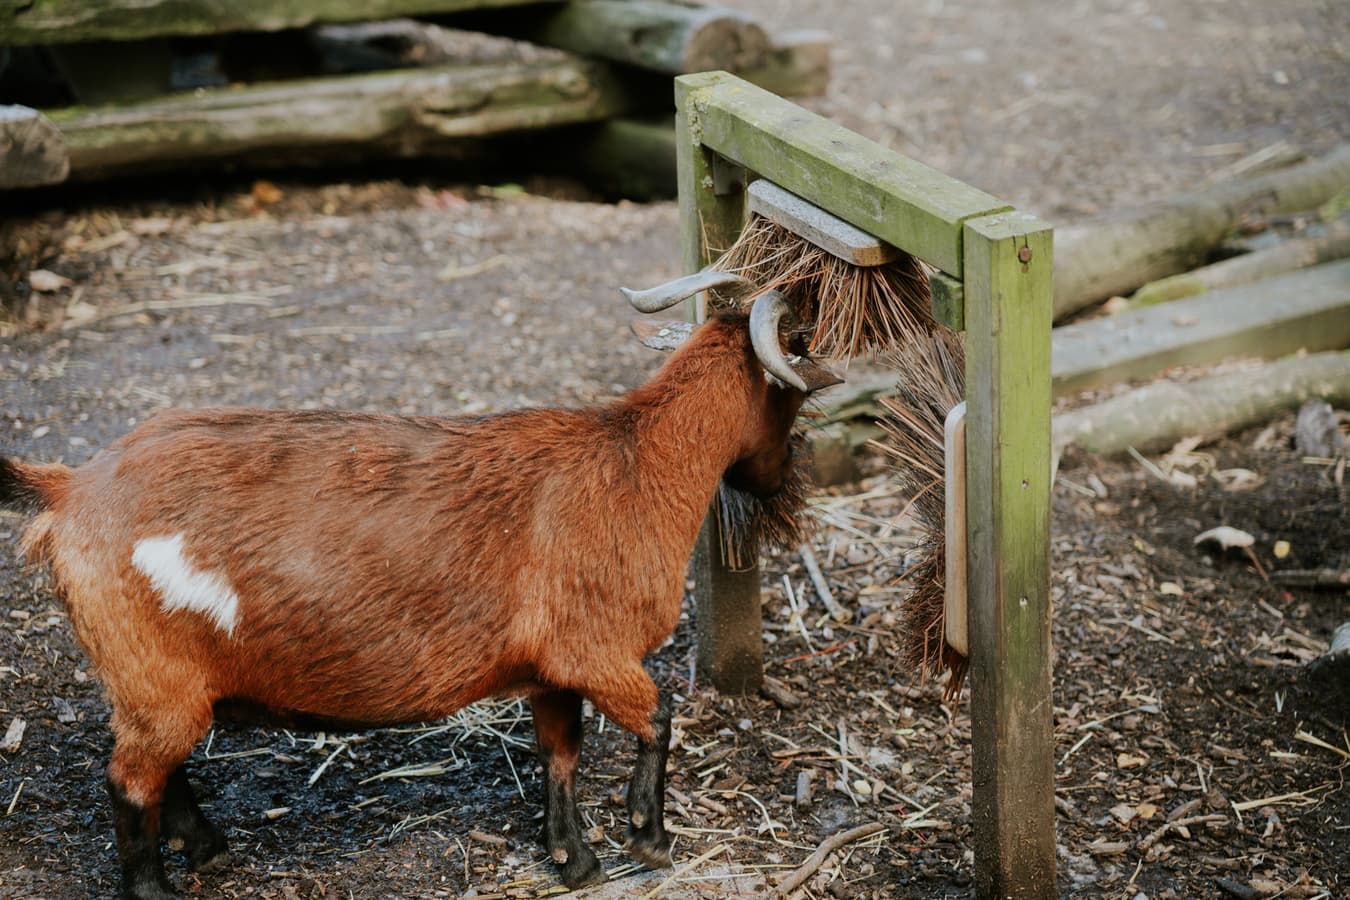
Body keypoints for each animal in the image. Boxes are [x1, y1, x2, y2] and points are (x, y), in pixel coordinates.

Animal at [0, 276, 837, 900]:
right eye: (792, 395)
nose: (783, 479)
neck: (636, 463)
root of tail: (71, 489)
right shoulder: (597, 653)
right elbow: (659, 720)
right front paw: (651, 838)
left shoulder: (551, 669)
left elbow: (558, 754)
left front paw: (574, 860)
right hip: (154, 676)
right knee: (128, 780)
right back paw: (161, 886)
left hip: (164, 684)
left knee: (157, 771)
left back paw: (208, 847)